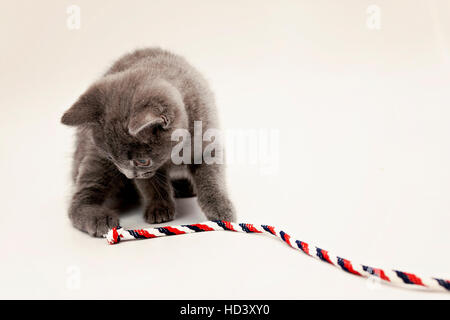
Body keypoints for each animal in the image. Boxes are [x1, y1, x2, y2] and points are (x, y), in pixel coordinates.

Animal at [62, 48, 237, 238]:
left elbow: (211, 178)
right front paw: (159, 208)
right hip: (94, 157)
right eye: (111, 157)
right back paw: (99, 218)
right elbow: (151, 184)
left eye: (142, 161)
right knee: (79, 199)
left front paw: (221, 208)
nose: (128, 175)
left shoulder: (207, 142)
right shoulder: (143, 170)